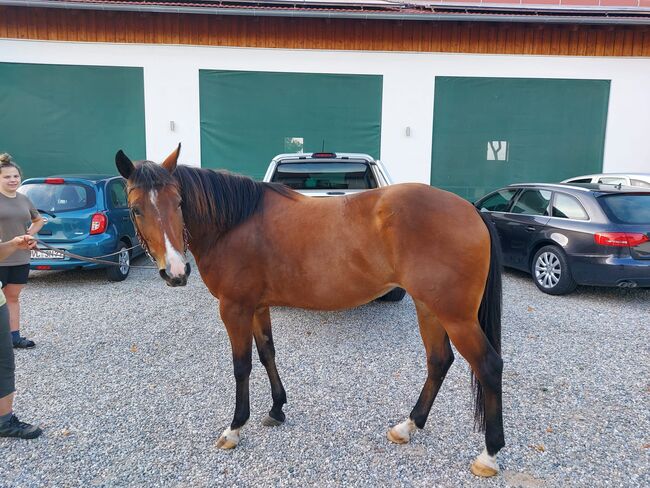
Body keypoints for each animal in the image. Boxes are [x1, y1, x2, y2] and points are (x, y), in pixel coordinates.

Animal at [115, 144, 502, 476]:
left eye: (179, 202)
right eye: (136, 209)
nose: (176, 272)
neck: (234, 223)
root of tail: (471, 210)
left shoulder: (234, 308)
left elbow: (242, 366)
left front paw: (235, 427)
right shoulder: (257, 307)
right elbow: (267, 353)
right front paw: (276, 409)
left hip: (456, 316)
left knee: (488, 365)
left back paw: (488, 455)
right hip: (429, 307)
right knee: (439, 360)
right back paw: (407, 426)